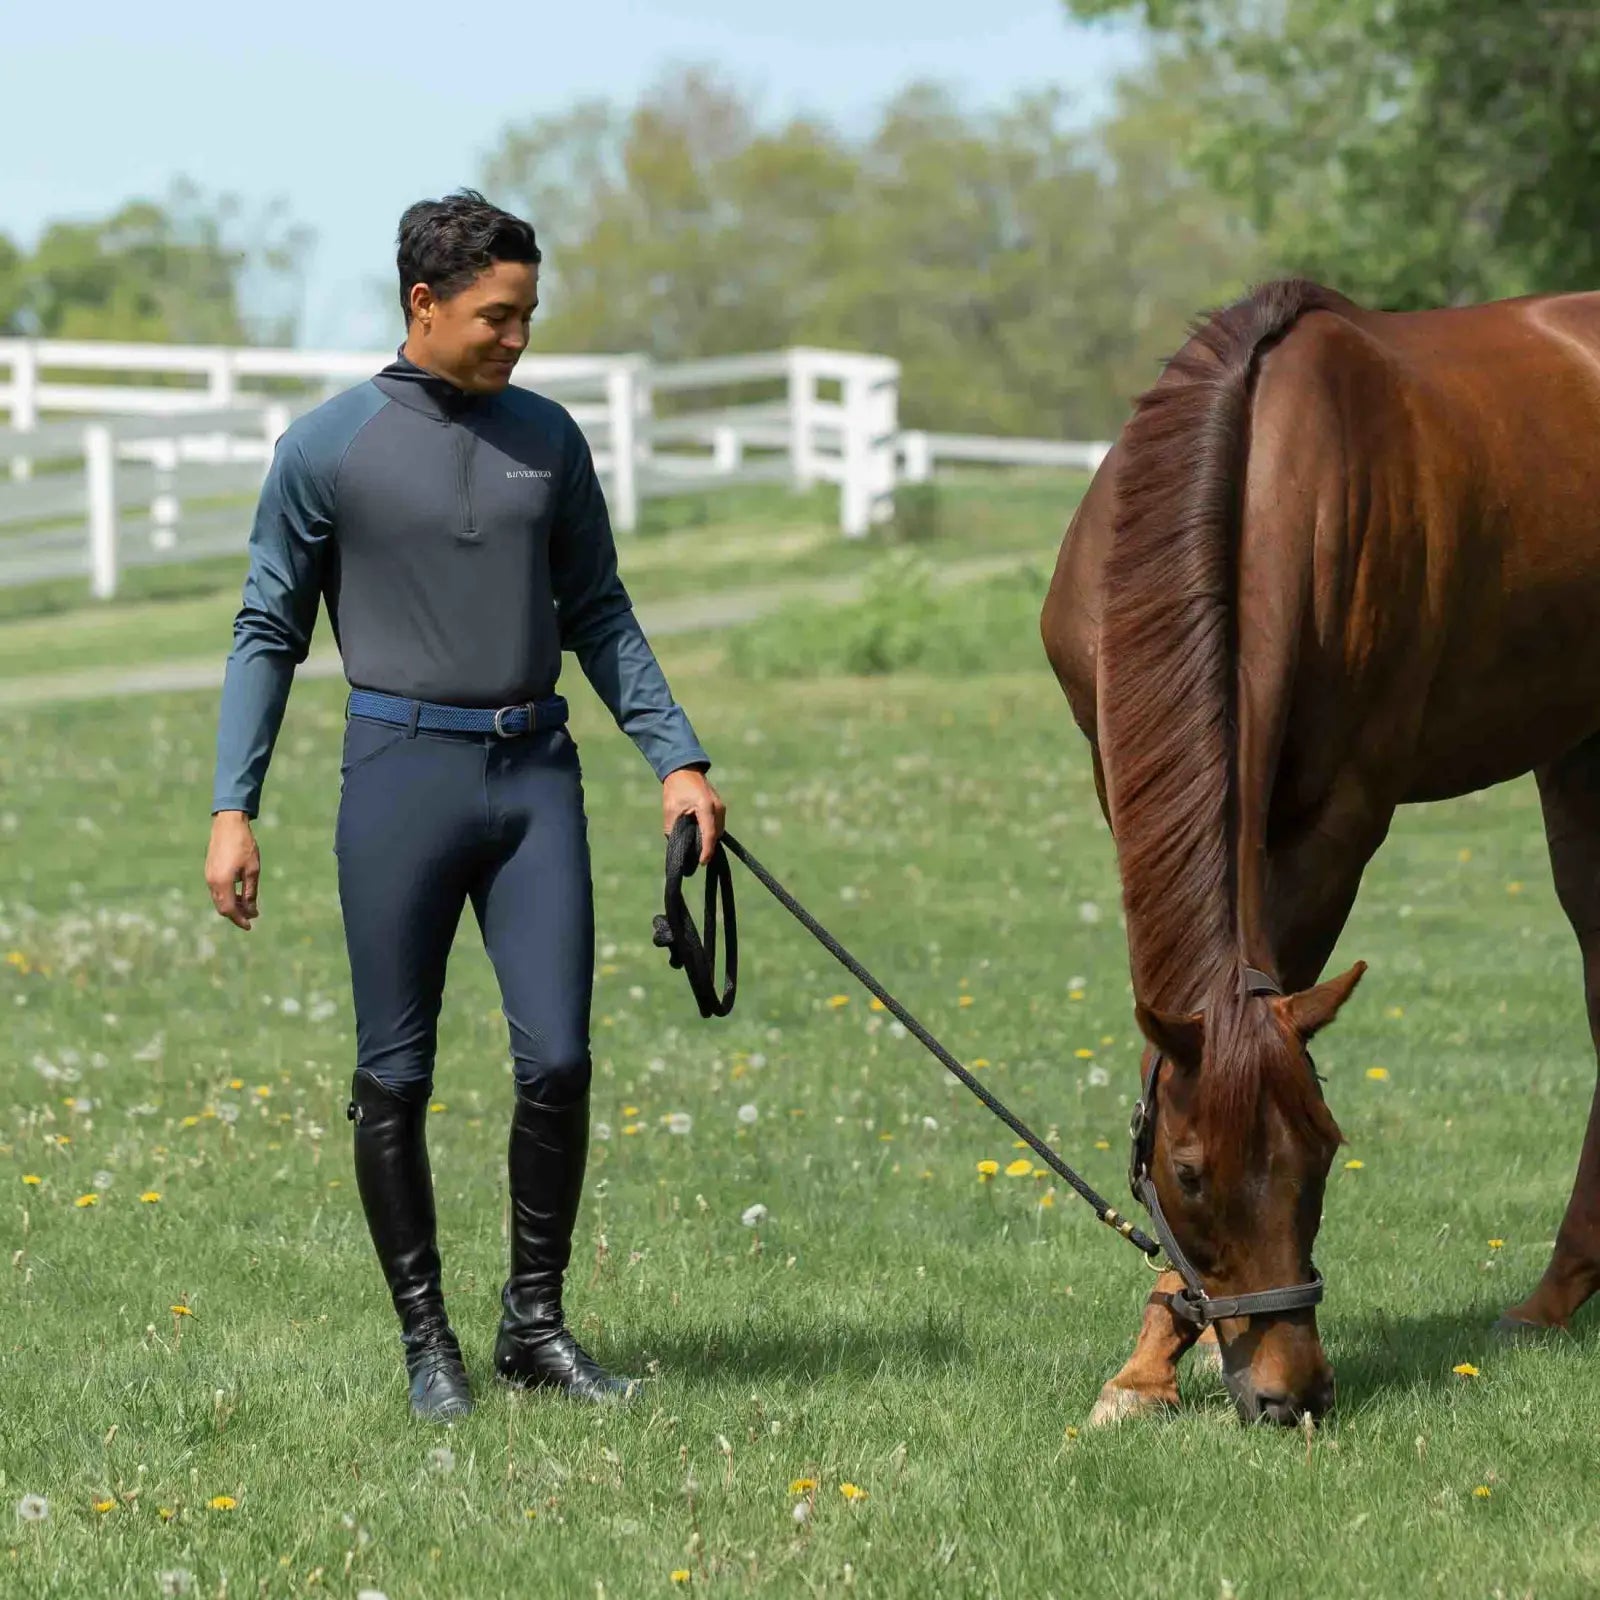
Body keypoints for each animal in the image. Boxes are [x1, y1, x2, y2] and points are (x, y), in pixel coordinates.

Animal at [1039, 277, 1600, 1425]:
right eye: (1188, 1173)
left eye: (1327, 1154)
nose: (1290, 1392)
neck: (1255, 463)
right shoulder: (1121, 779)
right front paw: (1151, 1366)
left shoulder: (1342, 818)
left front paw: (1154, 1356)